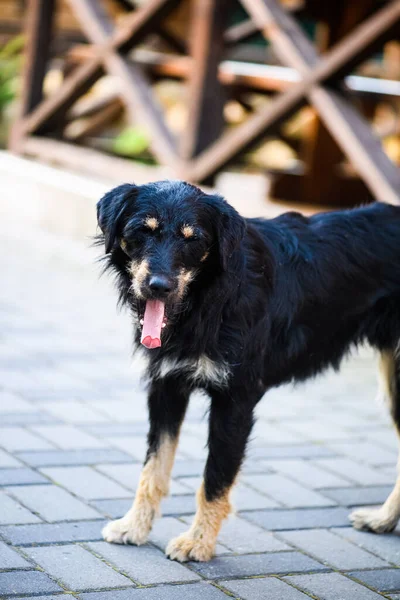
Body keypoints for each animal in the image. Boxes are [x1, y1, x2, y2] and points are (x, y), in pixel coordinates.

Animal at [98, 179, 400, 564]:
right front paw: (134, 527)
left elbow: (215, 479)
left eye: (193, 239)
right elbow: (154, 468)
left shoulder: (235, 400)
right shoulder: (166, 387)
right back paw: (384, 520)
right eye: (142, 230)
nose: (159, 286)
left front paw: (198, 543)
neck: (209, 300)